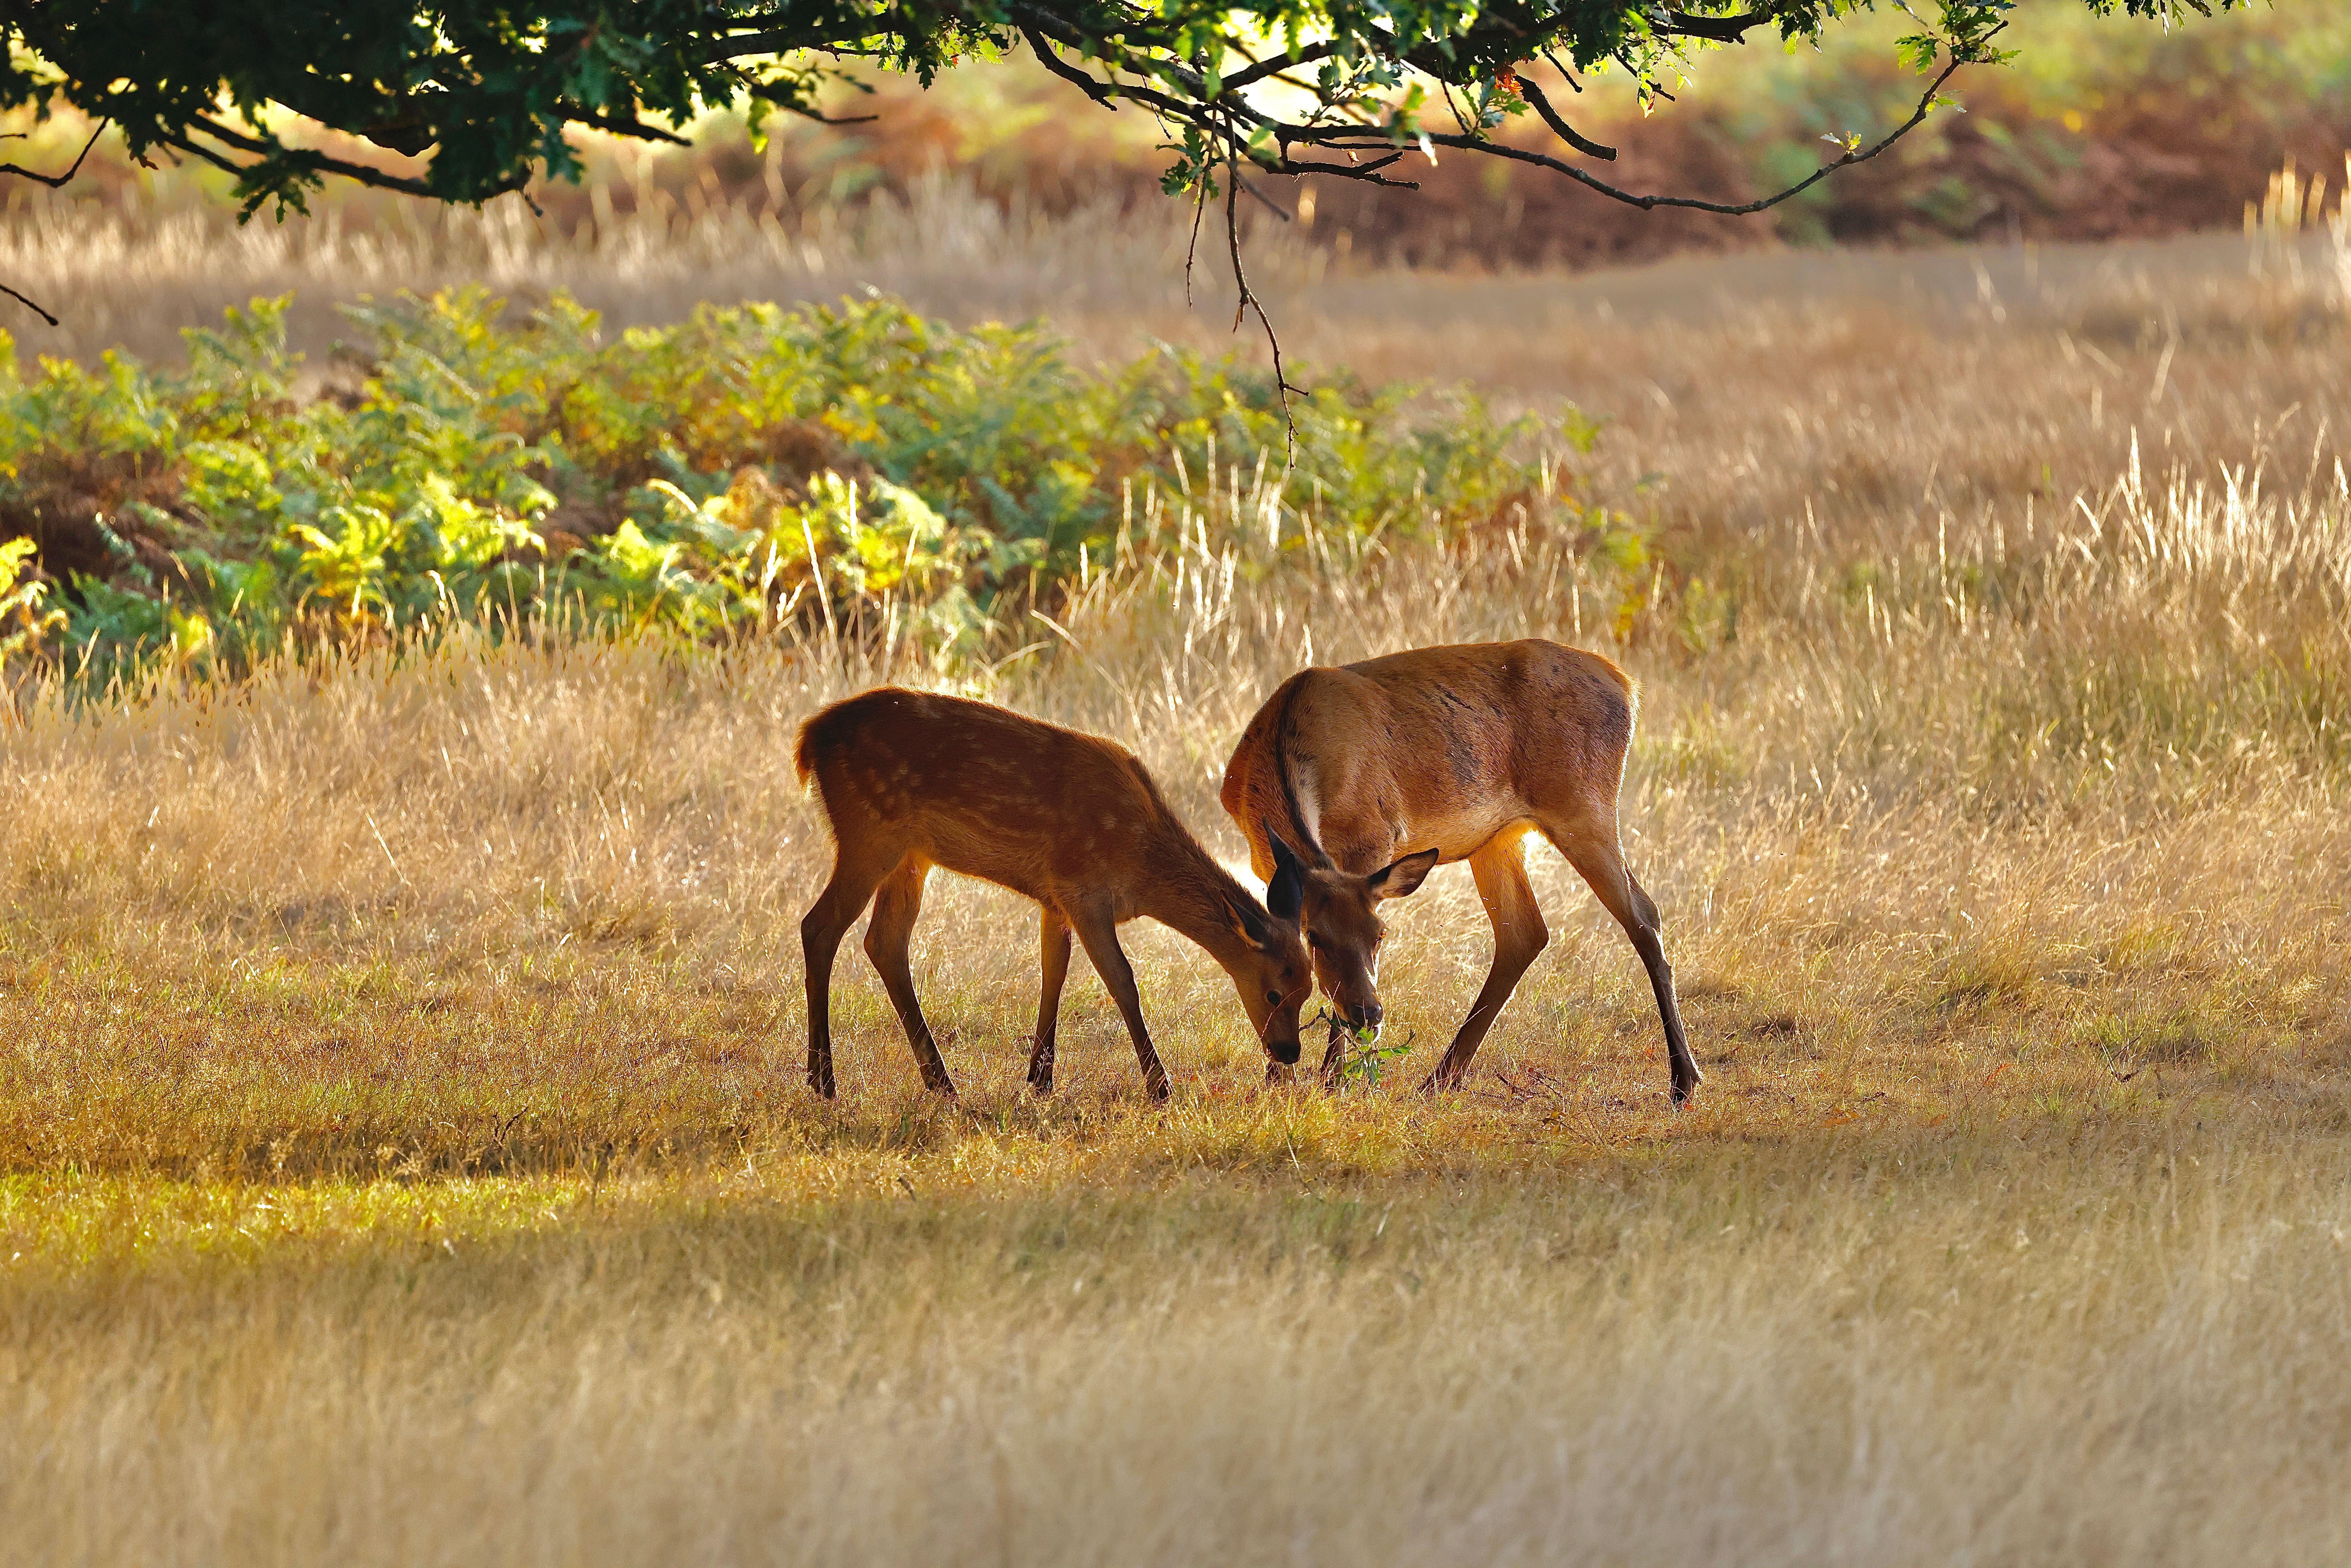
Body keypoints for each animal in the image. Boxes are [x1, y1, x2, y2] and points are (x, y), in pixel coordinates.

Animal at [796, 687, 1312, 1101]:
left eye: (1308, 990)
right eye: (1273, 992)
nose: (1288, 1051)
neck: (1141, 866)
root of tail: (811, 737)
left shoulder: (1055, 897)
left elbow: (1054, 971)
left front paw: (1040, 1075)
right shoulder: (1082, 888)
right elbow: (1122, 980)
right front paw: (1159, 1085)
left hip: (910, 854)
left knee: (885, 940)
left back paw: (940, 1080)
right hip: (871, 831)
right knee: (819, 926)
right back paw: (824, 1078)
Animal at [1220, 639, 1699, 1104]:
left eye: (1381, 934)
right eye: (1315, 936)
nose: (1369, 1015)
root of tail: (1627, 686)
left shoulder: (1374, 840)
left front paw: (1334, 1081)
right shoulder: (1268, 868)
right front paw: (1279, 1078)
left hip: (1584, 804)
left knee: (1643, 915)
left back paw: (1684, 1078)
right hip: (1499, 837)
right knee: (1525, 932)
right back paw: (1441, 1078)